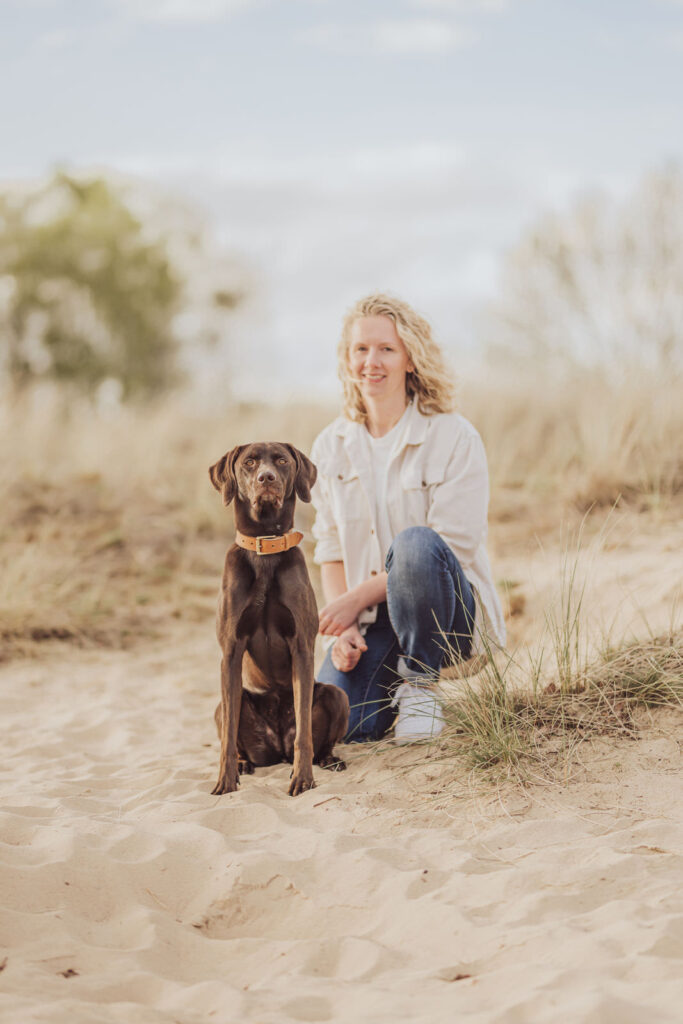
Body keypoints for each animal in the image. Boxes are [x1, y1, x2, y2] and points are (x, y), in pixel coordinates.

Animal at [206, 438, 348, 790]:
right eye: (249, 462)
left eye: (282, 460)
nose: (266, 478)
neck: (265, 547)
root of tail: (277, 747)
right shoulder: (230, 651)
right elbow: (227, 736)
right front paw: (225, 781)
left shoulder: (301, 647)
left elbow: (304, 733)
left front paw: (303, 777)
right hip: (223, 707)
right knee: (230, 727)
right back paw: (244, 765)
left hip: (336, 695)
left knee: (316, 737)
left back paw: (328, 760)